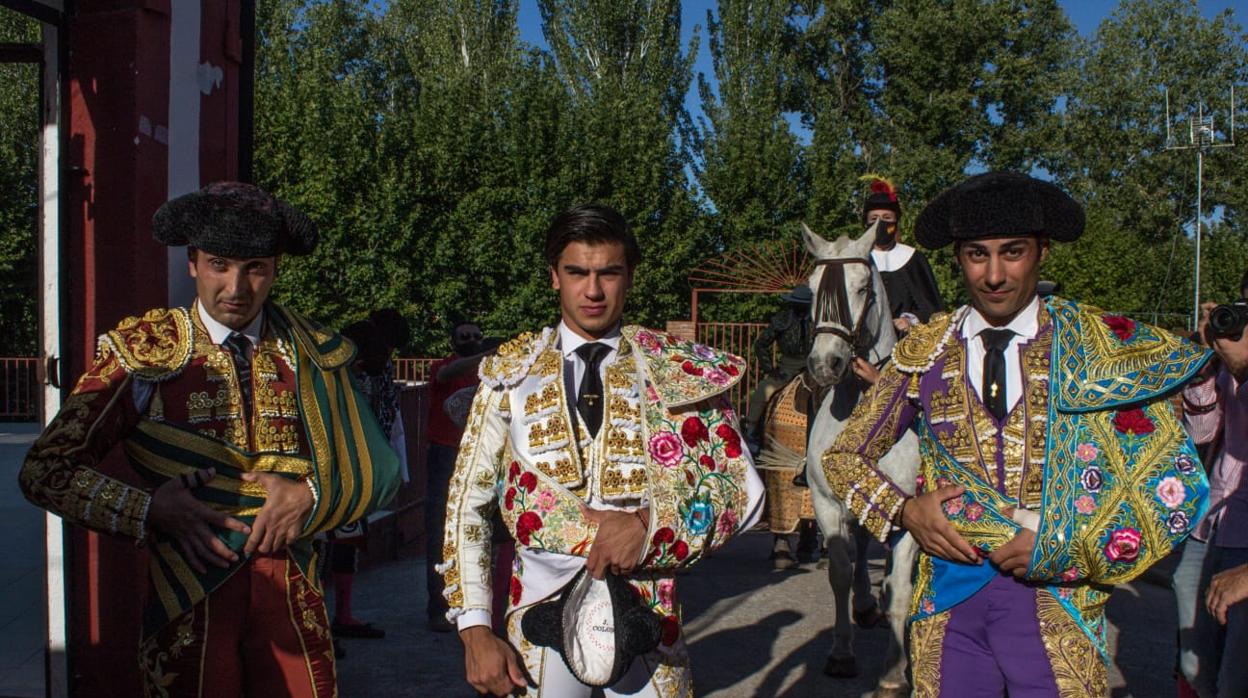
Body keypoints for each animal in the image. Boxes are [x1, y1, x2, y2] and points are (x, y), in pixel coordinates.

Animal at [798, 224, 918, 698]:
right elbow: (841, 574)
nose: (824, 363)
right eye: (813, 288)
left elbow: (900, 590)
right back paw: (866, 606)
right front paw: (841, 653)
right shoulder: (827, 504)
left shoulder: (907, 516)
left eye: (863, 287)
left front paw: (894, 673)